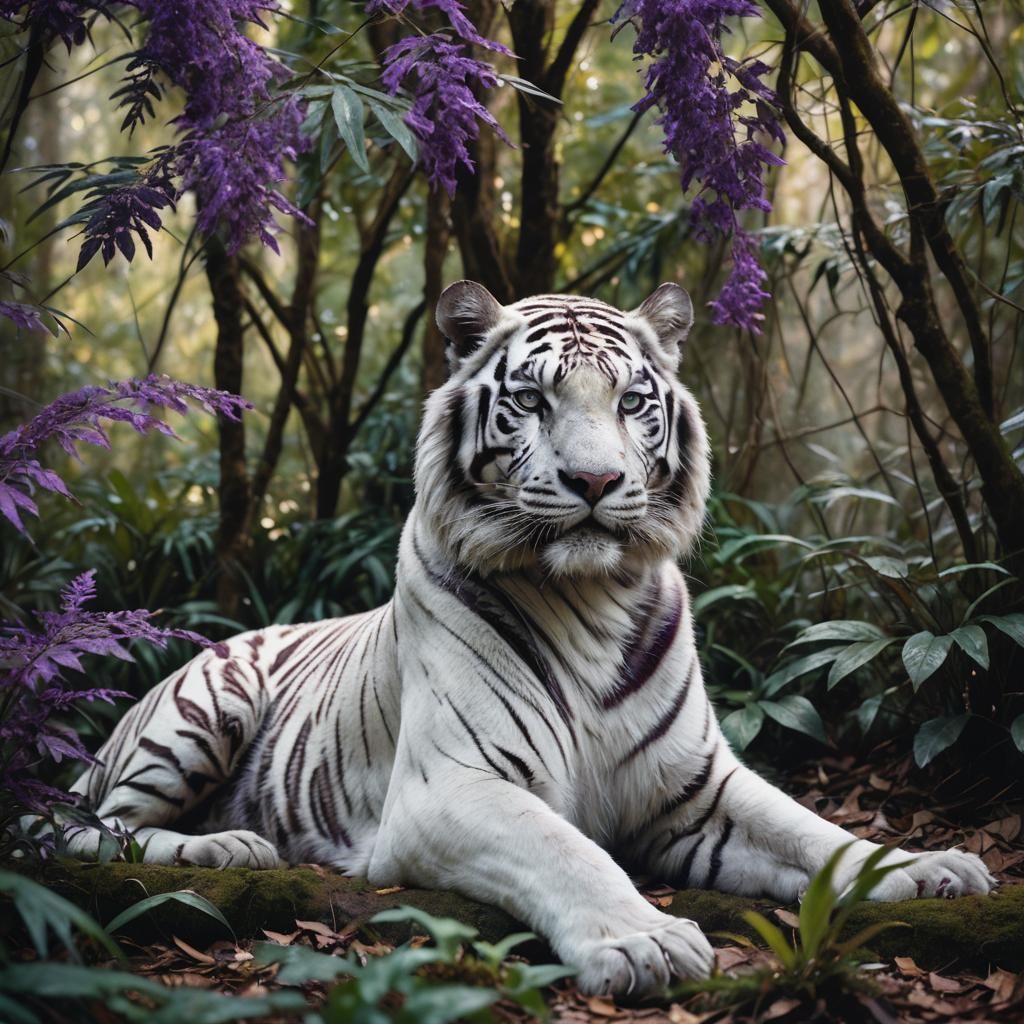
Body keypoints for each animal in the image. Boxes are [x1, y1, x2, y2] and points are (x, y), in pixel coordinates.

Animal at [67, 281, 995, 998]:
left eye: (630, 402)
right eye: (532, 400)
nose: (596, 481)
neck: (593, 598)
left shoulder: (695, 789)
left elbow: (813, 832)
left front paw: (922, 869)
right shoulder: (452, 786)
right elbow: (569, 852)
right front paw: (644, 940)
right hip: (199, 710)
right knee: (86, 827)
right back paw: (229, 845)